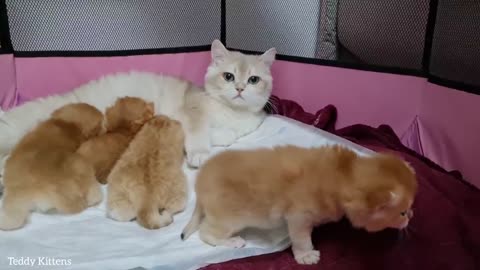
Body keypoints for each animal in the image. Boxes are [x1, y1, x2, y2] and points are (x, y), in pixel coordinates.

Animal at [0, 40, 276, 171]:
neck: (230, 111)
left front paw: (218, 137)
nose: (239, 89)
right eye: (228, 76)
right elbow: (199, 132)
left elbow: (226, 135)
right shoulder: (190, 112)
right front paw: (199, 153)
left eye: (253, 80)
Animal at [181, 144, 416, 264]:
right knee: (206, 233)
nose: (411, 216)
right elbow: (302, 238)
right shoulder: (299, 216)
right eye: (402, 213)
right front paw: (306, 255)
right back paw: (231, 242)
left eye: (409, 210)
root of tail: (200, 183)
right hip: (229, 218)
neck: (343, 173)